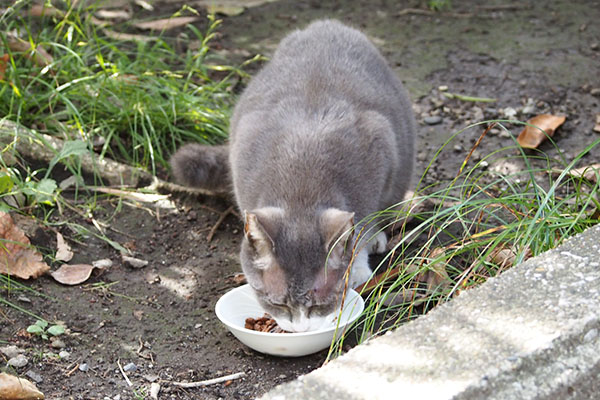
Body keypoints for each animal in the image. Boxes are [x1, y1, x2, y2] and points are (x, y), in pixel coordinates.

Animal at [171, 19, 414, 332]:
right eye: (279, 303)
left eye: (319, 304)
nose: (301, 329)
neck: (302, 185)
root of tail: (327, 25)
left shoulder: (378, 150)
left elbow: (362, 224)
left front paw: (357, 263)